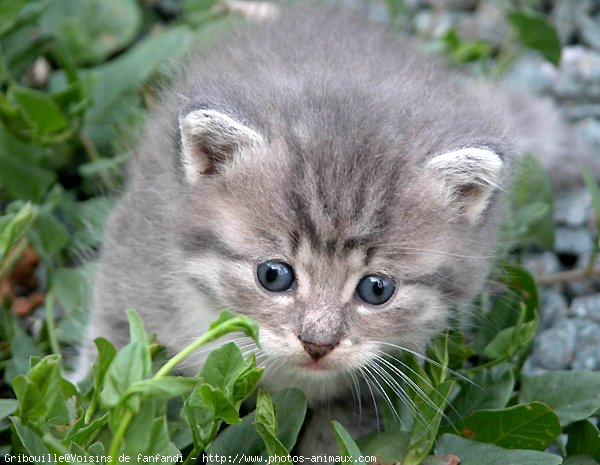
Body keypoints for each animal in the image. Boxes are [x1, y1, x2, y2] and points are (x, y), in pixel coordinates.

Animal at [71, 1, 584, 454]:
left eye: (376, 289)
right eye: (273, 275)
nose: (318, 343)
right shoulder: (137, 261)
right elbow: (115, 368)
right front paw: (89, 418)